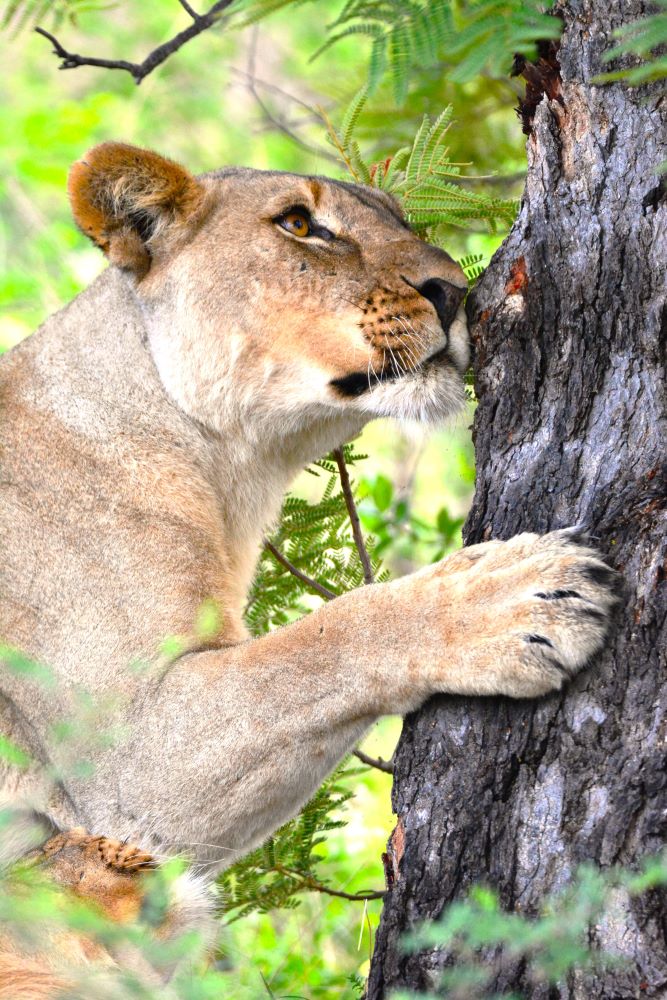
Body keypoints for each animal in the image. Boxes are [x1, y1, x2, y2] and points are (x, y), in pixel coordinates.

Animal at [0, 143, 620, 988]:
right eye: (299, 225)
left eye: (398, 218)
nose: (453, 291)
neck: (228, 473)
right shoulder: (126, 760)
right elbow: (322, 643)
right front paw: (517, 595)